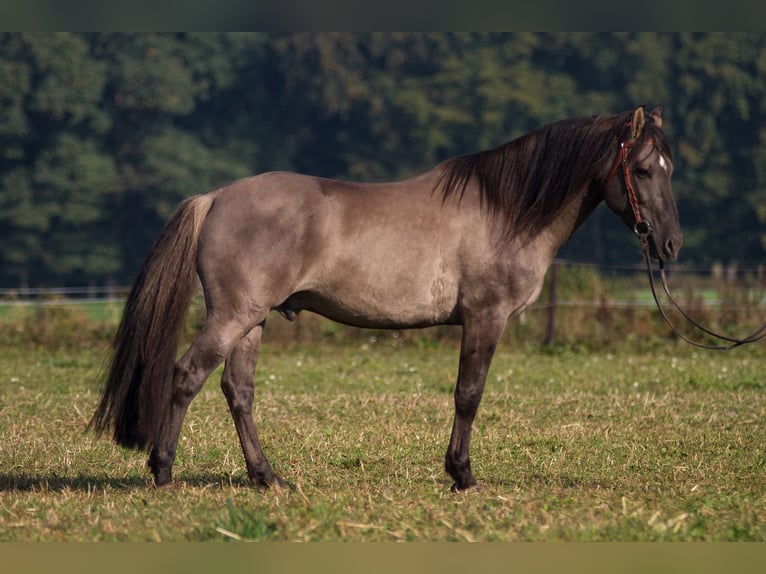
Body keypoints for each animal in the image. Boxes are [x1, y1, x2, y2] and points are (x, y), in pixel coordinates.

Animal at [90, 106, 682, 492]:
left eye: (669, 169)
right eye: (642, 170)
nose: (670, 244)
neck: (505, 211)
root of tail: (215, 198)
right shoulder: (484, 319)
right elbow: (468, 395)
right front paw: (462, 475)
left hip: (252, 321)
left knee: (239, 391)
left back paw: (266, 476)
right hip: (232, 317)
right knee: (187, 375)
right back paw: (163, 471)